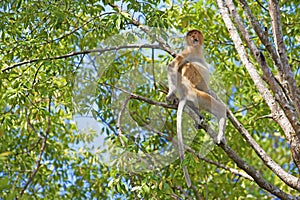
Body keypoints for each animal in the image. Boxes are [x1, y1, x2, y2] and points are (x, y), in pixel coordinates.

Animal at [165, 29, 226, 188]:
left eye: (196, 33)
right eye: (191, 34)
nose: (194, 37)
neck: (197, 49)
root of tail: (186, 94)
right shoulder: (188, 51)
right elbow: (172, 65)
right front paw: (170, 94)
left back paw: (199, 119)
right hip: (197, 95)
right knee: (221, 108)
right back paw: (220, 136)